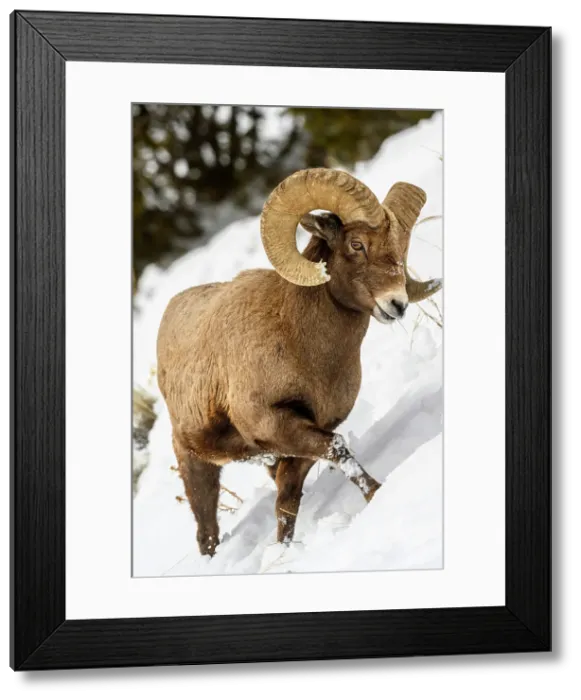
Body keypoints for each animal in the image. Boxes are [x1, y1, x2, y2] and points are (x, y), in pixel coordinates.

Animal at [156, 168, 442, 557]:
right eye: (356, 244)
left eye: (401, 247)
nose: (396, 304)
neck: (305, 349)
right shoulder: (275, 424)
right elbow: (338, 449)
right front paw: (377, 493)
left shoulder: (302, 439)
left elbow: (287, 502)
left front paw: (284, 552)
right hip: (195, 462)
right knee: (207, 532)